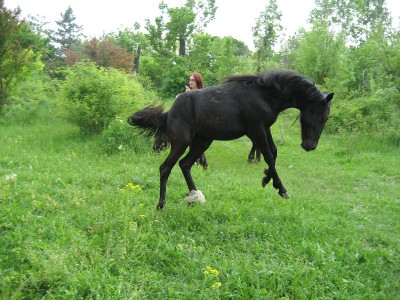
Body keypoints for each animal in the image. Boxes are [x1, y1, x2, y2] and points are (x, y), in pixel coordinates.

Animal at [128, 71, 332, 210]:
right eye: (323, 117)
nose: (310, 146)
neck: (265, 94)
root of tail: (169, 113)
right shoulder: (255, 129)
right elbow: (268, 155)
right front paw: (281, 189)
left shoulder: (265, 128)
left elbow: (273, 153)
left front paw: (267, 178)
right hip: (181, 143)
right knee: (166, 168)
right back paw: (161, 204)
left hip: (203, 141)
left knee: (185, 164)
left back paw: (195, 196)